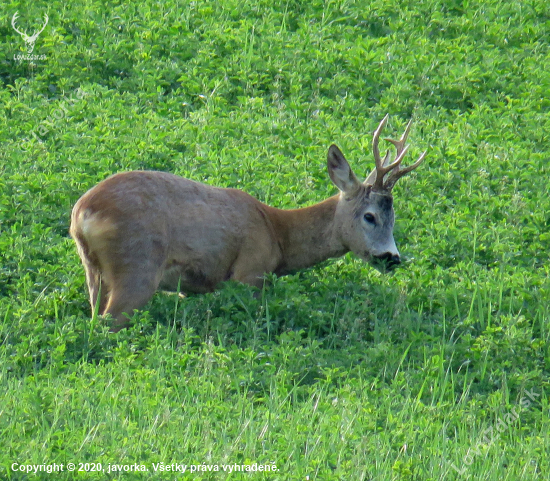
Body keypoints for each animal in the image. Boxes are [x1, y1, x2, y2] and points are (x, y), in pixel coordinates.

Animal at [71, 115, 430, 330]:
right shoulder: (251, 272)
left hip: (95, 271)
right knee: (108, 322)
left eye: (394, 217)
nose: (392, 257)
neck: (277, 232)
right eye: (370, 216)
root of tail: (83, 213)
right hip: (138, 266)